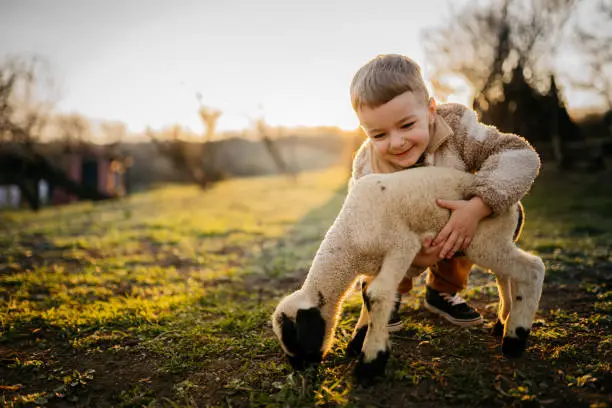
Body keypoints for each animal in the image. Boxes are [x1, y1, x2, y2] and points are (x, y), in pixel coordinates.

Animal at [272, 165, 544, 380]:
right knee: (507, 276)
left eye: (295, 335)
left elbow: (377, 294)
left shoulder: (402, 246)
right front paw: (359, 340)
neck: (349, 243)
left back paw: (514, 339)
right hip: (493, 243)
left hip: (483, 241)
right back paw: (503, 323)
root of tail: (516, 206)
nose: (301, 371)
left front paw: (371, 362)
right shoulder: (377, 264)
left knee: (531, 268)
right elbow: (367, 295)